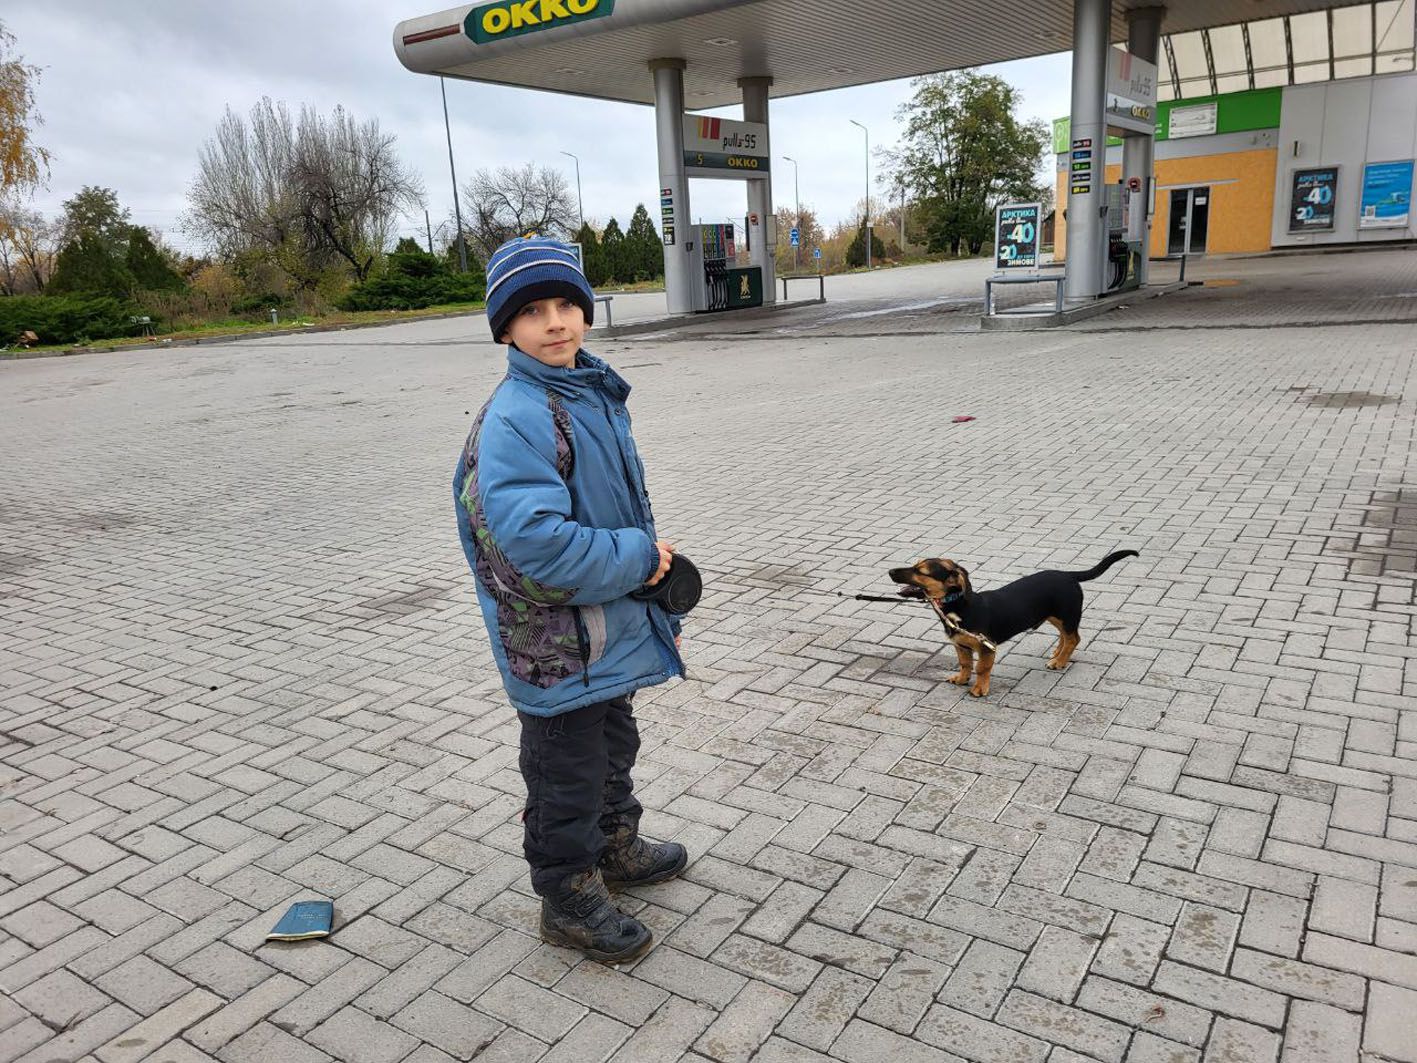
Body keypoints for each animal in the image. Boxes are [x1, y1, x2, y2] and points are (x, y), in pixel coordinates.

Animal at [884, 552, 1139, 702]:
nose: (889, 571)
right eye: (915, 565)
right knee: (1066, 636)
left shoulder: (987, 647)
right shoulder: (961, 645)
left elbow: (982, 668)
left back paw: (1060, 661)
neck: (957, 606)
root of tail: (1068, 575)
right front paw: (961, 678)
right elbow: (965, 664)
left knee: (1074, 638)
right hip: (1054, 615)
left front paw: (980, 689)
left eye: (920, 571)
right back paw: (1058, 654)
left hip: (1067, 614)